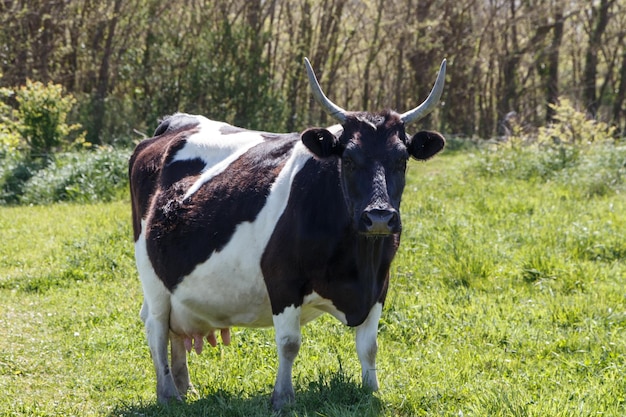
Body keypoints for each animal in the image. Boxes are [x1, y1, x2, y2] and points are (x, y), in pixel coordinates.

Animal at [129, 56, 446, 410]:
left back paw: (185, 388)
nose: (379, 216)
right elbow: (289, 342)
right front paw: (282, 397)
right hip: (151, 275)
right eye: (348, 158)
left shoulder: (380, 283)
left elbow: (369, 345)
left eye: (402, 159)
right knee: (156, 326)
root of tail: (175, 122)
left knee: (174, 332)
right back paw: (168, 394)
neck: (356, 263)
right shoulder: (282, 279)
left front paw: (371, 390)